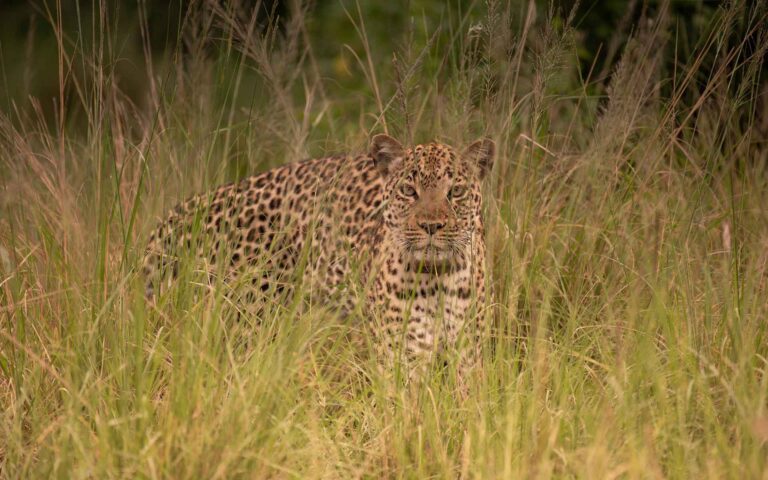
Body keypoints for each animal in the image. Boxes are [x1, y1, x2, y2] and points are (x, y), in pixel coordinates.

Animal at [142, 134, 495, 380]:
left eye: (456, 192)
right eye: (409, 191)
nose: (431, 225)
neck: (437, 277)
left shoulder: (468, 354)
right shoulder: (401, 355)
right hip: (244, 322)